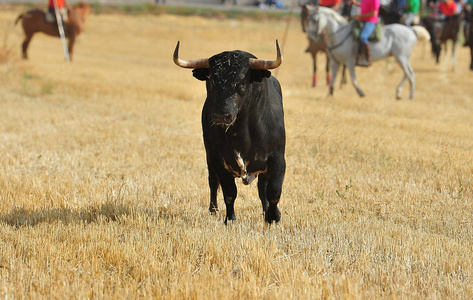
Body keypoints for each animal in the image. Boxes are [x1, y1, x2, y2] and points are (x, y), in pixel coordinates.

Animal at [172, 41, 284, 225]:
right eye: (211, 81)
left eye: (242, 83)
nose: (221, 116)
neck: (242, 134)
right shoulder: (218, 160)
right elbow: (229, 192)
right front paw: (230, 219)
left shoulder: (277, 159)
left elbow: (273, 191)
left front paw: (273, 216)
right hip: (209, 158)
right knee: (212, 181)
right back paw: (213, 210)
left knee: (262, 188)